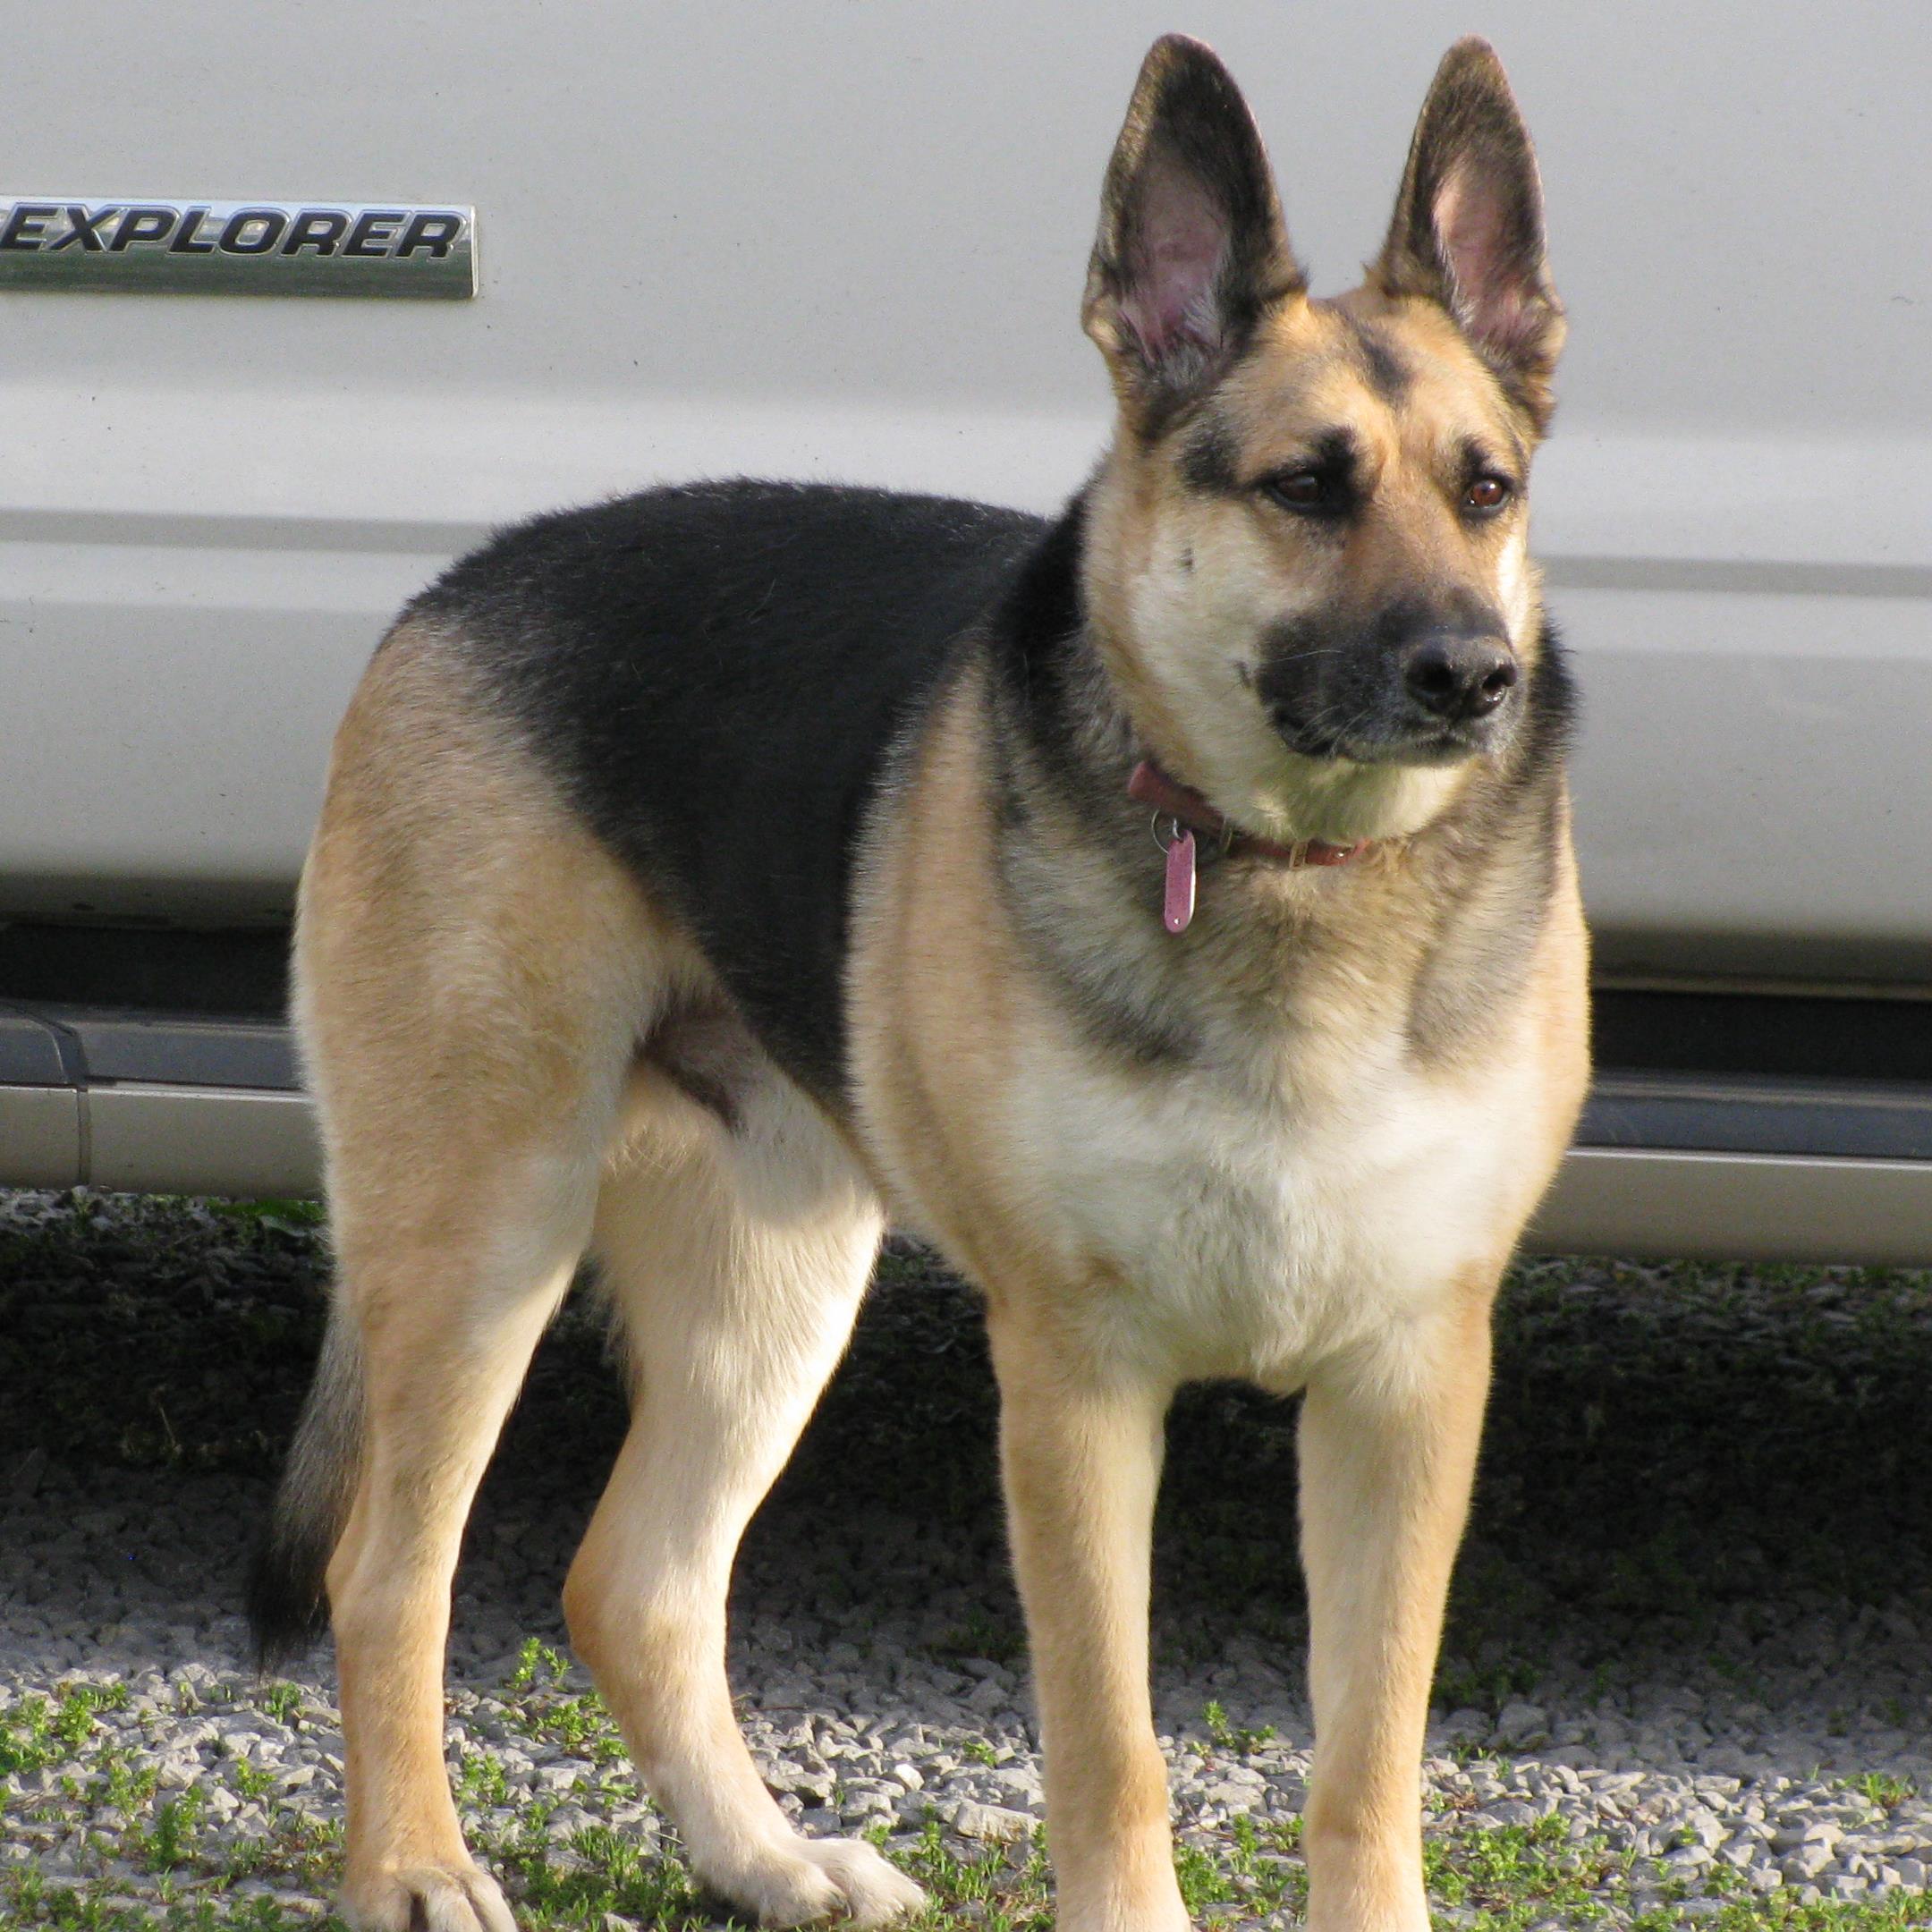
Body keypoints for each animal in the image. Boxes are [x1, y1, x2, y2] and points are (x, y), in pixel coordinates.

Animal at [252, 30, 1584, 1932]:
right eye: (1307, 487)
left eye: (1486, 491)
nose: (1473, 675)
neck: (1291, 873)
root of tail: (452, 585)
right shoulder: (1078, 1388)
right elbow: (1110, 1748)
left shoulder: (1406, 1383)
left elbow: (1365, 1761)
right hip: (487, 1233)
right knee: (390, 1573)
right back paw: (418, 1867)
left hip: (775, 1282)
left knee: (633, 1586)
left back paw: (759, 1857)